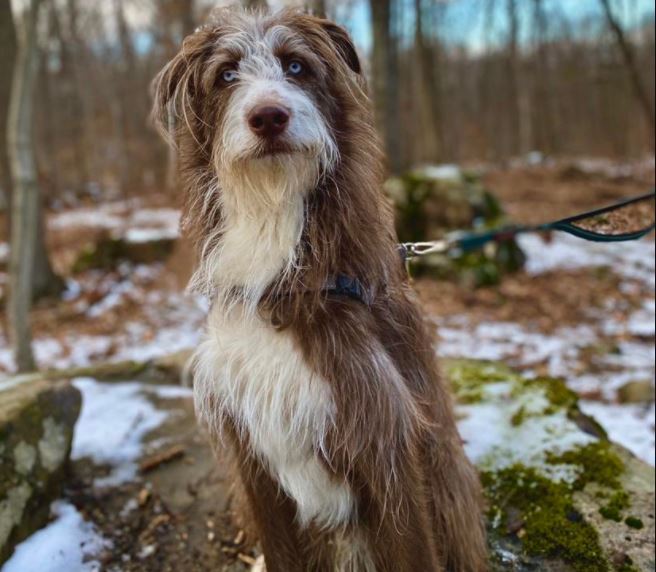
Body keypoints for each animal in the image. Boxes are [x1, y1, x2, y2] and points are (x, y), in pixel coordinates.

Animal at [152, 8, 486, 572]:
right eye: (226, 74)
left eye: (296, 66)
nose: (268, 117)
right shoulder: (252, 455)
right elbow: (279, 546)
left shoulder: (387, 442)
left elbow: (411, 547)